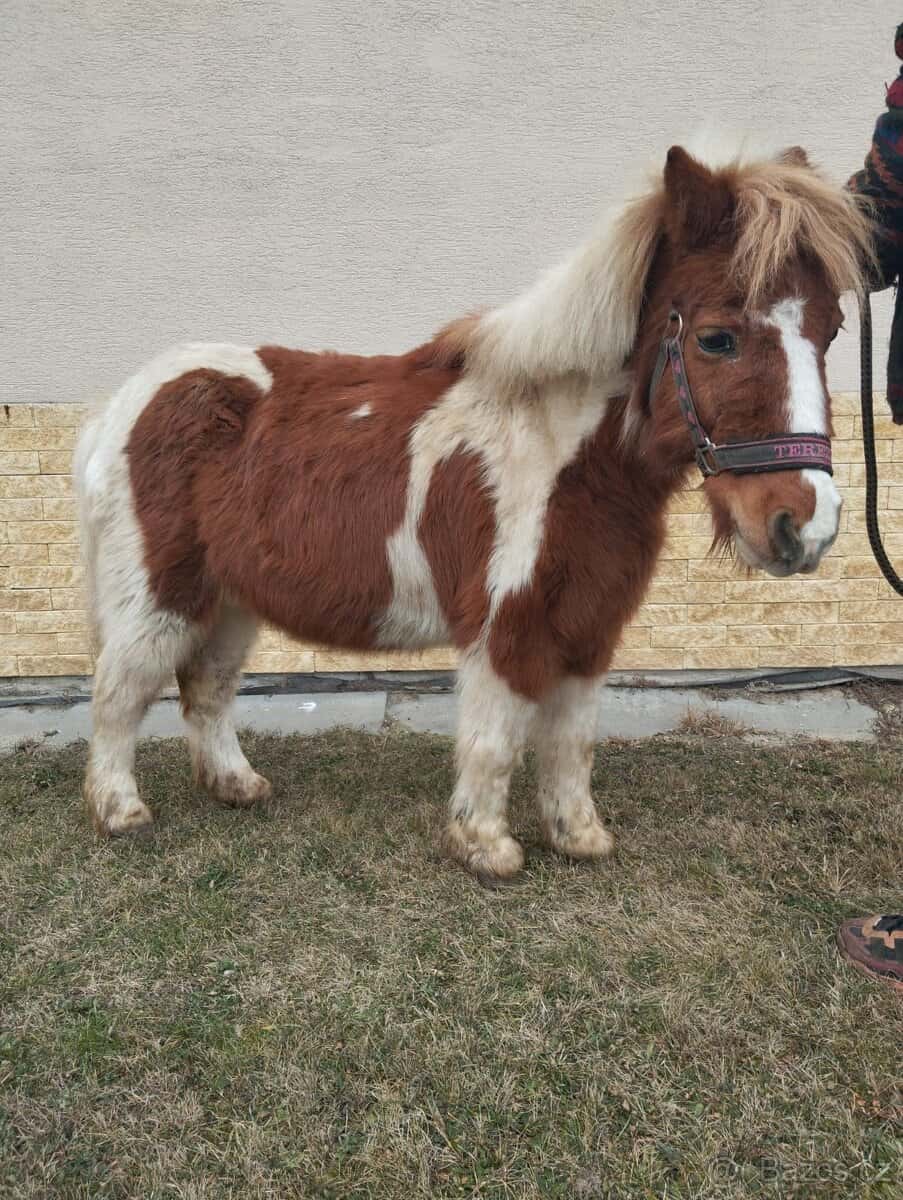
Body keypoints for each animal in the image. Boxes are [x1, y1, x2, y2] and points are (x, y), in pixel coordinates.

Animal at [74, 142, 872, 883]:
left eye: (831, 330)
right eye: (715, 338)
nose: (804, 525)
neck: (558, 455)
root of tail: (124, 404)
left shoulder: (589, 626)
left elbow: (571, 740)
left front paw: (579, 837)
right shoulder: (505, 625)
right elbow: (494, 740)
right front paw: (485, 847)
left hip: (231, 597)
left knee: (206, 689)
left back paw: (237, 786)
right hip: (160, 596)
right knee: (118, 693)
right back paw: (120, 812)